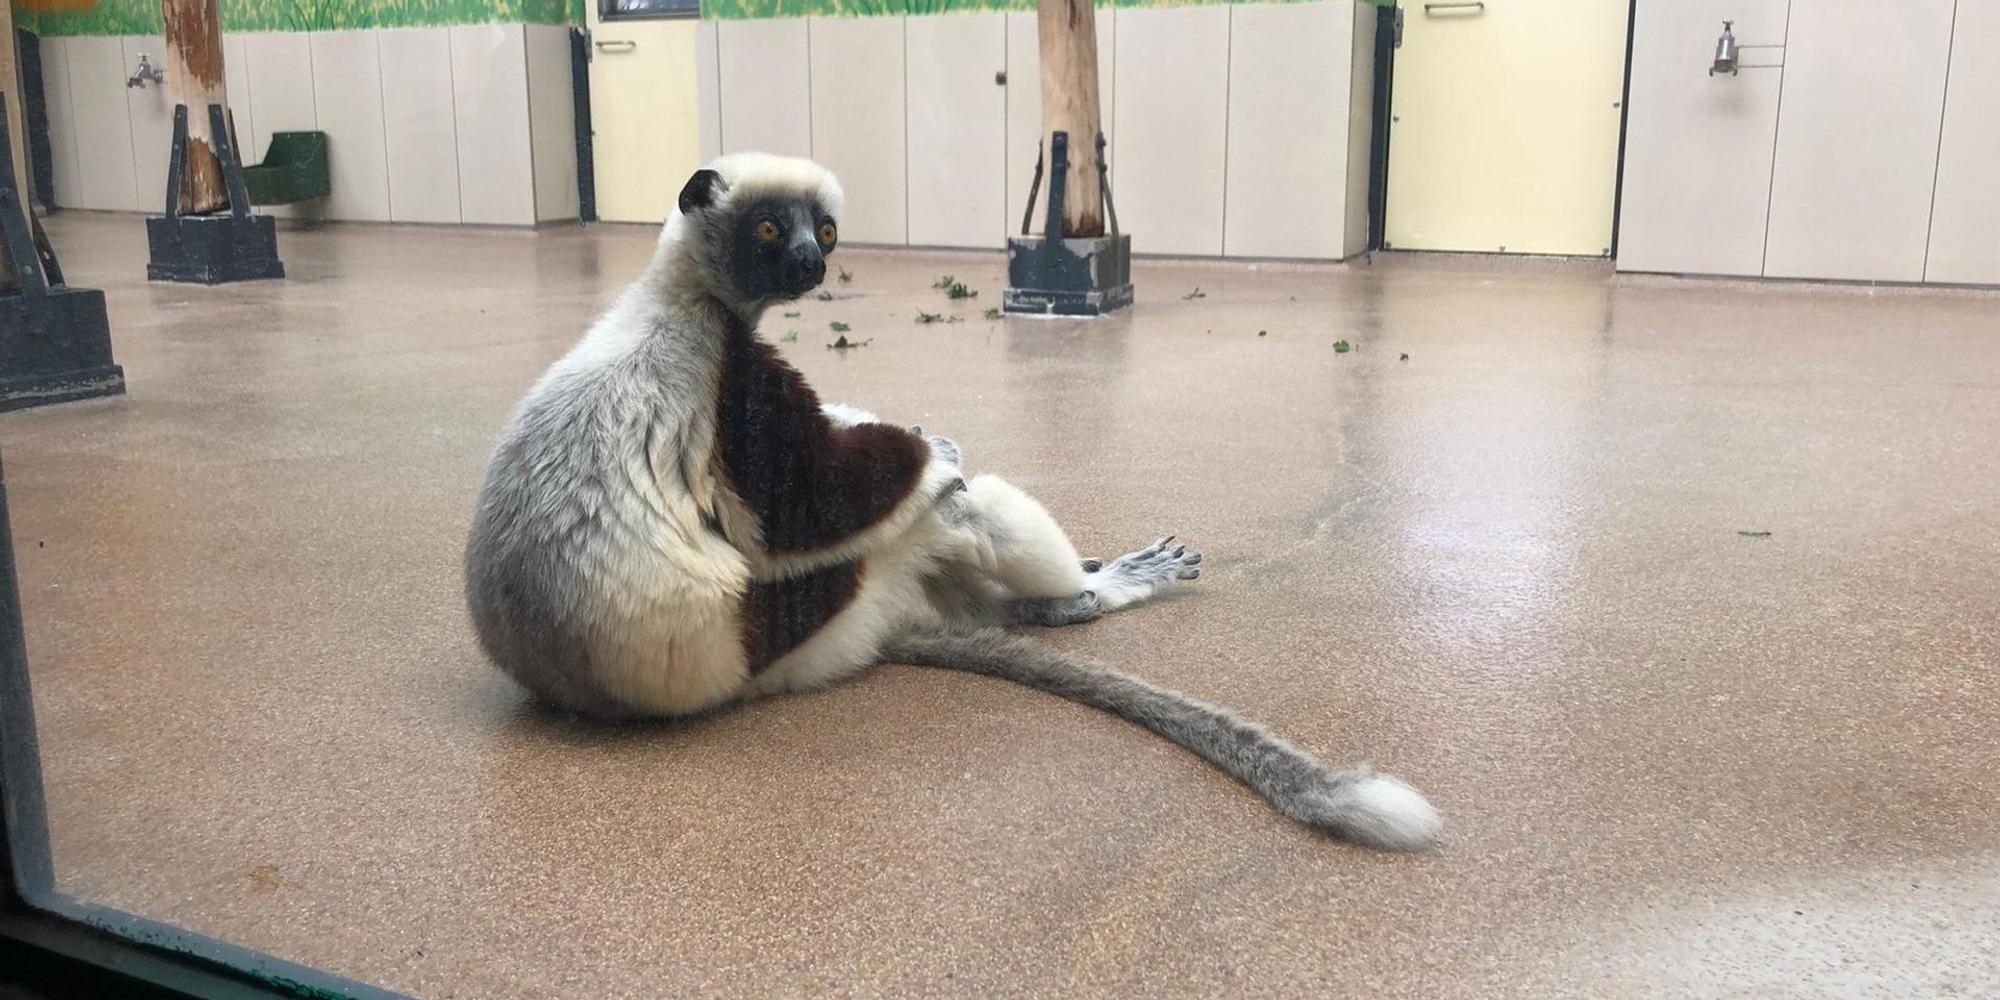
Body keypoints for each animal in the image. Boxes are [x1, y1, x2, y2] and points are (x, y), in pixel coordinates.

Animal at [464, 153, 1441, 851]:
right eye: (774, 228)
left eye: (824, 230)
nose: (813, 263)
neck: (680, 294)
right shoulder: (732, 379)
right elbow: (807, 503)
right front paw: (937, 452)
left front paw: (917, 433)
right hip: (804, 618)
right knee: (946, 514)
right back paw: (1092, 592)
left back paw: (1057, 596)